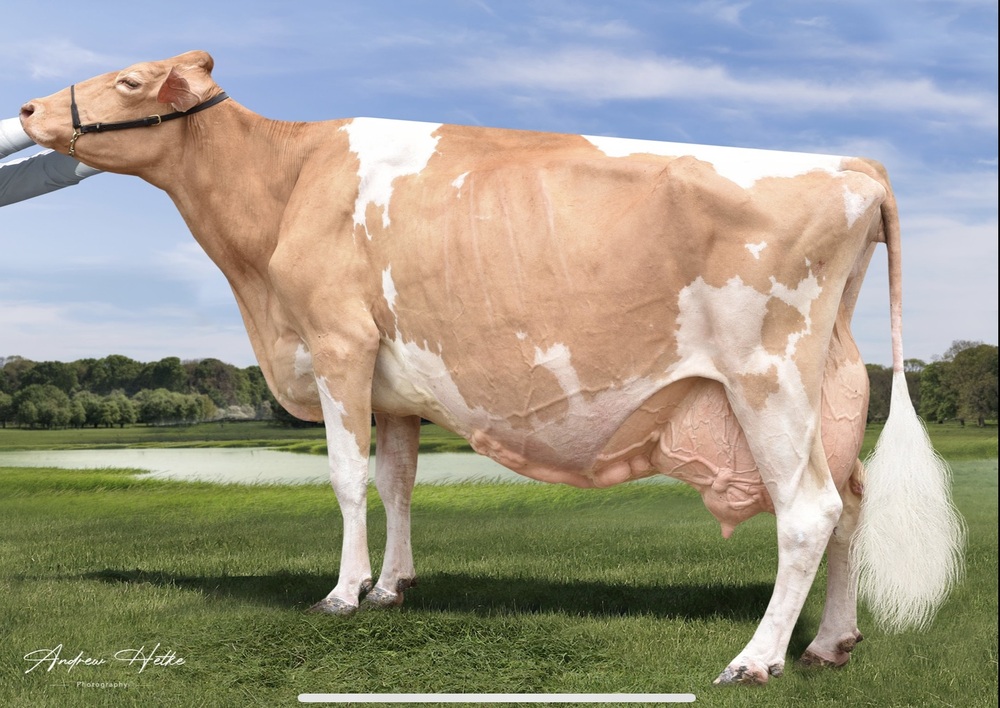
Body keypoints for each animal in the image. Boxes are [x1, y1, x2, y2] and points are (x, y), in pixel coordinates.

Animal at [20, 51, 964, 685]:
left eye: (130, 81)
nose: (28, 107)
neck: (281, 192)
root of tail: (855, 164)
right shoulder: (394, 384)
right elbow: (397, 480)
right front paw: (392, 588)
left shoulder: (337, 343)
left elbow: (345, 478)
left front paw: (342, 594)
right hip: (830, 388)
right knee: (851, 504)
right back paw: (830, 643)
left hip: (767, 376)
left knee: (808, 513)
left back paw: (756, 659)